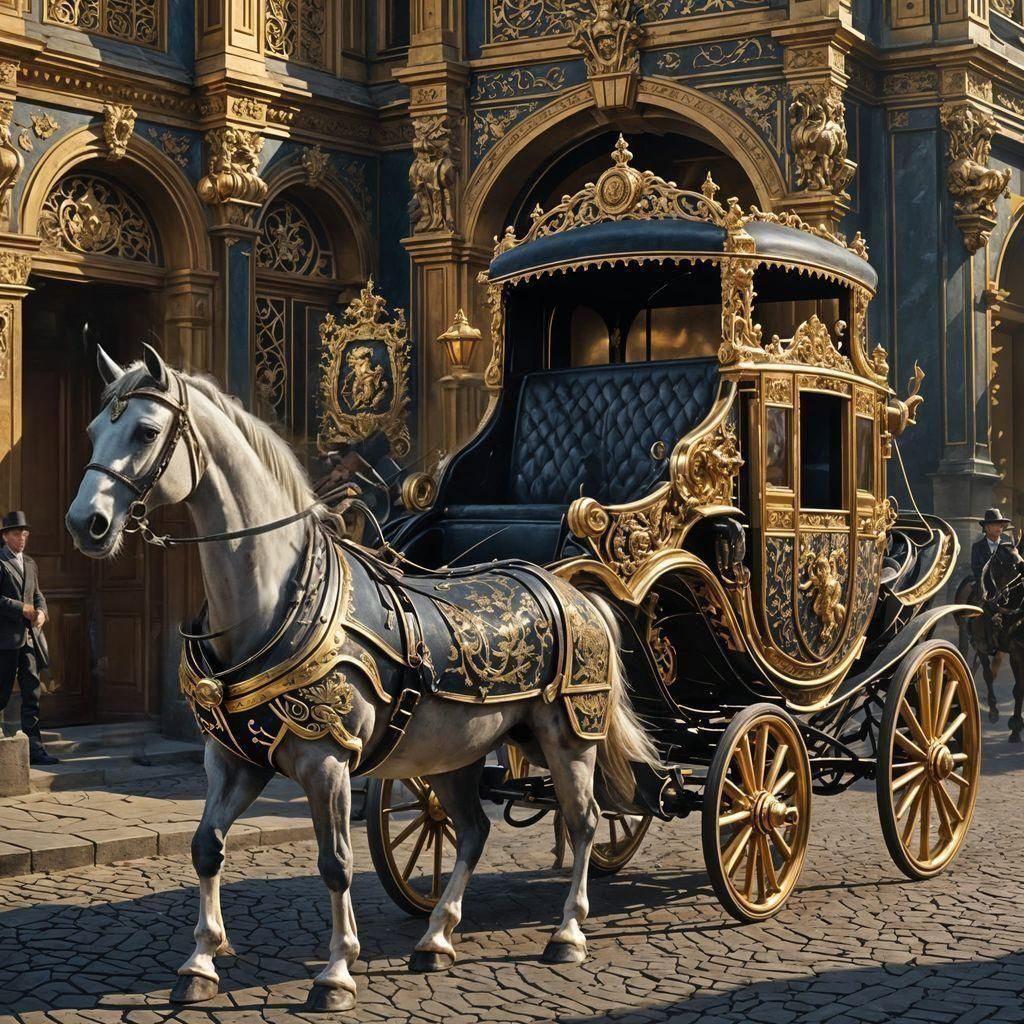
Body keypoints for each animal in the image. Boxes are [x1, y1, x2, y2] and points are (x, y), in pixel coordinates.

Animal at [64, 344, 659, 1013]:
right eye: (93, 430)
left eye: (145, 430)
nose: (85, 522)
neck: (272, 602)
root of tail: (565, 583)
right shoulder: (234, 758)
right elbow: (205, 847)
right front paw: (199, 963)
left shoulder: (326, 761)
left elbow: (336, 863)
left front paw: (336, 972)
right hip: (455, 751)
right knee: (474, 830)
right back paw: (436, 938)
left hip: (569, 736)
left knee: (584, 822)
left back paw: (567, 932)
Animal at [956, 542, 1024, 743]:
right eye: (1002, 558)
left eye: (1019, 553)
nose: (1022, 566)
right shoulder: (983, 644)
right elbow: (988, 675)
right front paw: (996, 713)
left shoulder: (1014, 651)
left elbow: (1018, 688)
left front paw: (1015, 727)